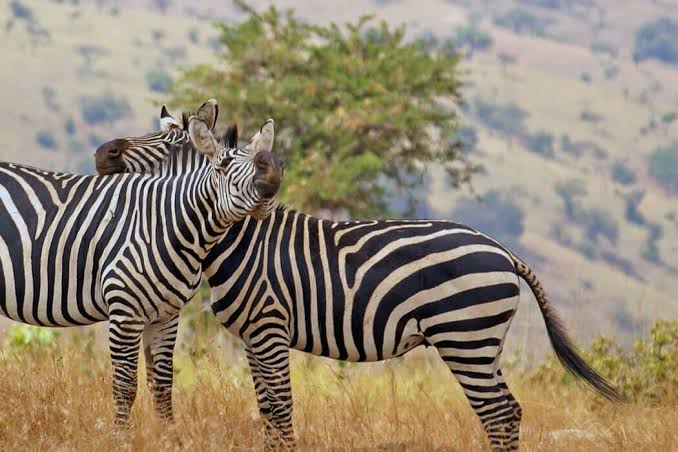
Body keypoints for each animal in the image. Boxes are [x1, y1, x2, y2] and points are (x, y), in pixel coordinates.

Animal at [0, 100, 283, 425]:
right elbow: (125, 386)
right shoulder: (124, 312)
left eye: (168, 145)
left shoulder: (166, 315)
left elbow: (161, 385)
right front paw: (119, 435)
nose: (102, 152)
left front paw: (168, 433)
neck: (166, 221)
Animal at [96, 108, 621, 451]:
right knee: (508, 411)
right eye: (227, 165)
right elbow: (267, 409)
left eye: (165, 141)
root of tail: (502, 250)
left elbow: (282, 407)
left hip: (465, 337)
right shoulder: (252, 336)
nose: (103, 152)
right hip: (482, 342)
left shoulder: (269, 328)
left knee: (497, 413)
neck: (238, 239)